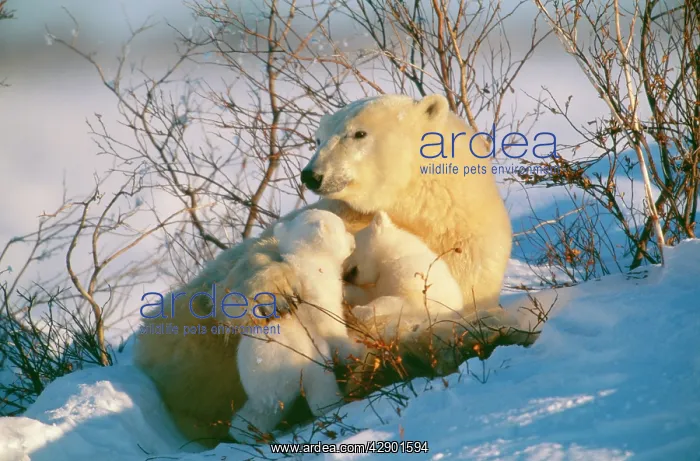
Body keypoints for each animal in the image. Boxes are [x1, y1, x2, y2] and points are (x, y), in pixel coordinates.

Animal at [230, 209, 357, 443]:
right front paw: (354, 346)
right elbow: (330, 325)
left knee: (258, 414)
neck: (308, 261)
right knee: (319, 382)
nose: (354, 239)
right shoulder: (317, 291)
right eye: (343, 228)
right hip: (299, 358)